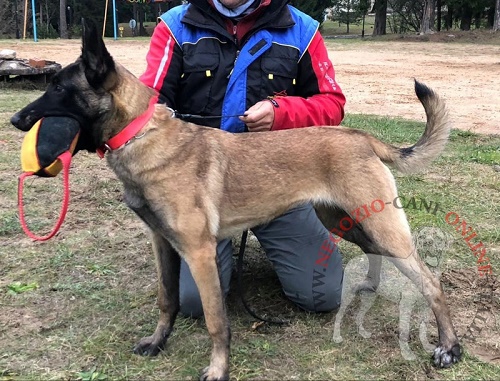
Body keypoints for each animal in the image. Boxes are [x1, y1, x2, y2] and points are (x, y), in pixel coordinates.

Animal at [10, 20, 460, 380]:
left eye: (59, 89)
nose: (15, 120)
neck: (140, 134)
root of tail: (361, 136)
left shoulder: (199, 253)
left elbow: (216, 322)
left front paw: (218, 369)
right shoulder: (163, 245)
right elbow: (167, 299)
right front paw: (157, 342)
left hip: (382, 227)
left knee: (431, 282)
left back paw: (449, 347)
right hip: (345, 220)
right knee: (375, 253)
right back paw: (369, 286)